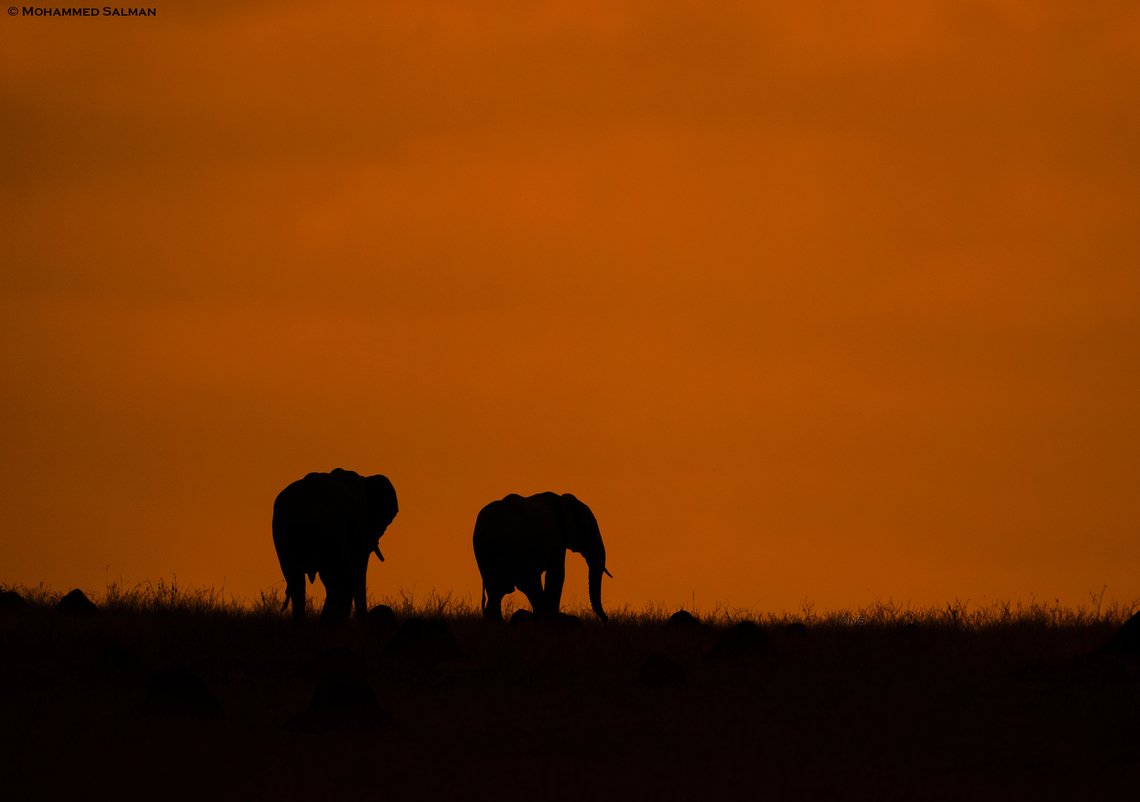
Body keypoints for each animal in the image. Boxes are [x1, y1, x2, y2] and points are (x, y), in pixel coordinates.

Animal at [272, 468, 398, 624]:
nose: (376, 613)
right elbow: (355, 572)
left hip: (284, 529)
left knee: (295, 577)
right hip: (331, 529)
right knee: (335, 578)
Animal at [473, 492, 612, 623]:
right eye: (591, 529)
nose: (605, 619)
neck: (562, 499)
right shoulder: (557, 538)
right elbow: (556, 574)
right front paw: (550, 620)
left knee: (497, 590)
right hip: (513, 547)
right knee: (514, 585)